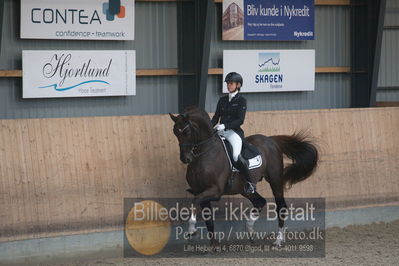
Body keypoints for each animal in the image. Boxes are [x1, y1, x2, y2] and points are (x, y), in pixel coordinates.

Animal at [169, 106, 318, 247]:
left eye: (187, 132)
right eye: (175, 132)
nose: (185, 158)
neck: (204, 155)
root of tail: (271, 140)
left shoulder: (215, 191)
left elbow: (195, 201)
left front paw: (191, 230)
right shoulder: (200, 191)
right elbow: (207, 218)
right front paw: (214, 245)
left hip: (275, 180)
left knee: (280, 207)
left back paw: (278, 241)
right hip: (244, 188)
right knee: (260, 202)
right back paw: (250, 230)